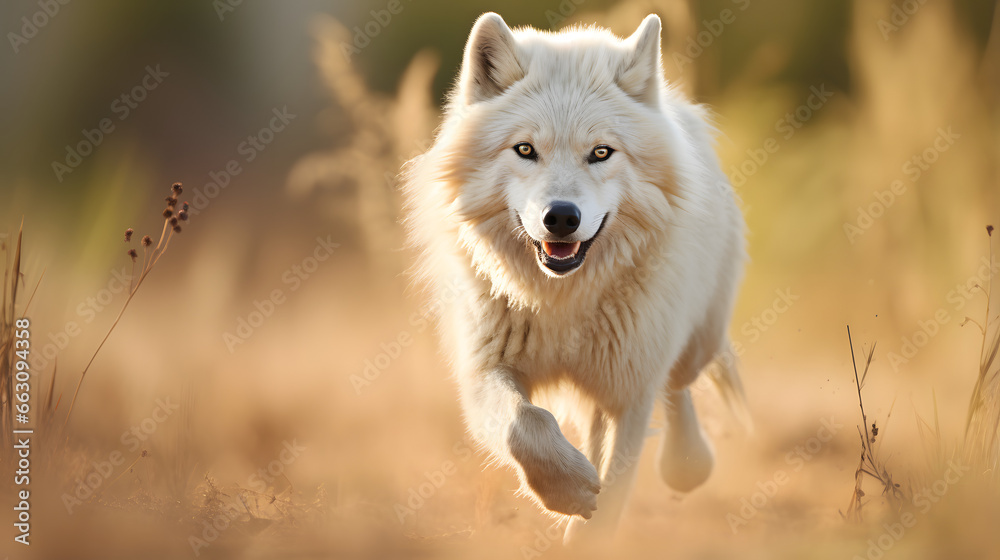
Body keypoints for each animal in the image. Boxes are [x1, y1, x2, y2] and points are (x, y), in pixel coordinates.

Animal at [401, 12, 748, 543]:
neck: (561, 300)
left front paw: (588, 531)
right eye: (525, 149)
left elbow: (609, 504)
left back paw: (687, 464)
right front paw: (566, 490)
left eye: (601, 153)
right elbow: (526, 422)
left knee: (678, 384)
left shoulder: (628, 393)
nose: (561, 217)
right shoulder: (484, 371)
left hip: (692, 343)